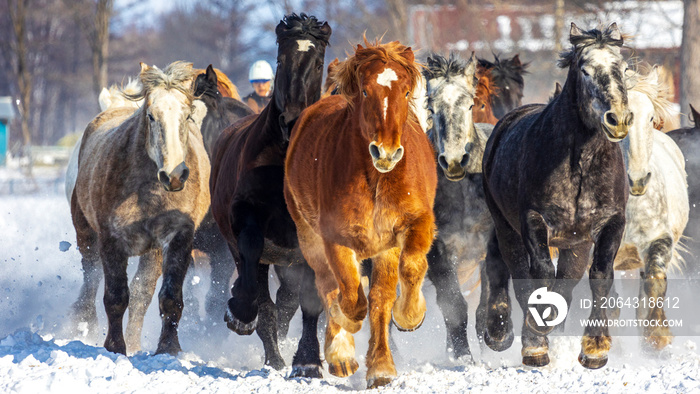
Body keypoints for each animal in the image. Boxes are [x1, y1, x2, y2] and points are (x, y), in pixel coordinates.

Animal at [73, 60, 213, 354]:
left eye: (187, 116)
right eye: (151, 116)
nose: (174, 175)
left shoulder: (177, 238)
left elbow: (168, 297)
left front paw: (168, 348)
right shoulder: (111, 240)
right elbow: (115, 297)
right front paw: (115, 347)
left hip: (152, 252)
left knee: (141, 294)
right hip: (85, 235)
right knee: (90, 282)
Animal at [209, 13, 332, 376]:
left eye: (317, 62)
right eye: (280, 59)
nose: (290, 120)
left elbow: (309, 303)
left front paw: (307, 361)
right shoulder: (249, 219)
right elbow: (254, 274)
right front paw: (239, 313)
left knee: (288, 301)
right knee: (261, 291)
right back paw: (269, 351)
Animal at [282, 39, 434, 388]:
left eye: (406, 91)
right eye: (365, 91)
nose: (386, 152)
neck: (376, 179)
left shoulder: (411, 226)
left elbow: (408, 272)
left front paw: (410, 316)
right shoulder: (336, 238)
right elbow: (350, 299)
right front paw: (342, 340)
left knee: (378, 298)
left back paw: (380, 365)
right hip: (309, 236)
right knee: (328, 285)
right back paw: (340, 355)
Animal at [484, 23, 632, 370]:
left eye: (623, 68)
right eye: (585, 69)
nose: (618, 119)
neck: (580, 162)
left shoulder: (609, 223)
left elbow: (599, 275)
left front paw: (595, 348)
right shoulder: (534, 220)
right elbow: (538, 274)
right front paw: (535, 344)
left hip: (574, 244)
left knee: (566, 281)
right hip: (505, 226)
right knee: (509, 269)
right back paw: (501, 333)